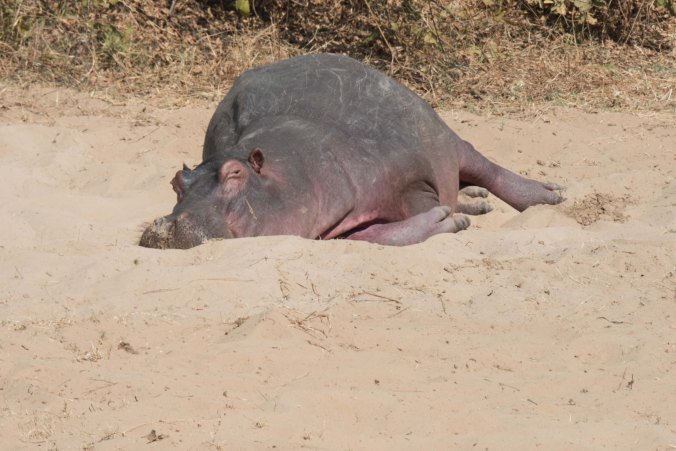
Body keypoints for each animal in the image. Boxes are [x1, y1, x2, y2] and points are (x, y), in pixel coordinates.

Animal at [140, 53, 563, 249]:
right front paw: (455, 217)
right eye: (177, 181)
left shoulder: (411, 180)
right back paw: (477, 203)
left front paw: (450, 218)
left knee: (484, 164)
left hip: (443, 136)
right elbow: (365, 236)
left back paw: (551, 195)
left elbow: (421, 208)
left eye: (235, 173)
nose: (167, 225)